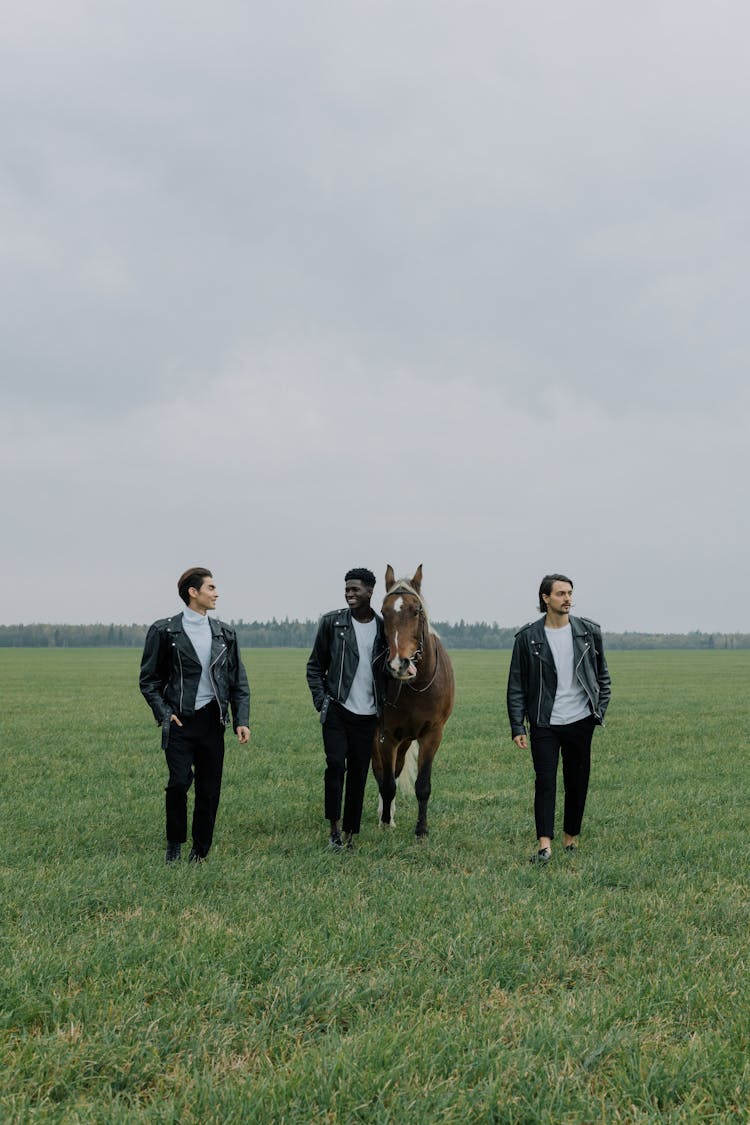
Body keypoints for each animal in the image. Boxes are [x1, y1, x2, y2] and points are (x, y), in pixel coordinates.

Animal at [373, 562, 454, 837]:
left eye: (416, 610)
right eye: (383, 612)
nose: (399, 664)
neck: (416, 685)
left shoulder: (432, 734)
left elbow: (423, 785)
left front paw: (421, 830)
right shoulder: (386, 735)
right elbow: (387, 783)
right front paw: (385, 822)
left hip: (407, 740)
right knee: (382, 774)